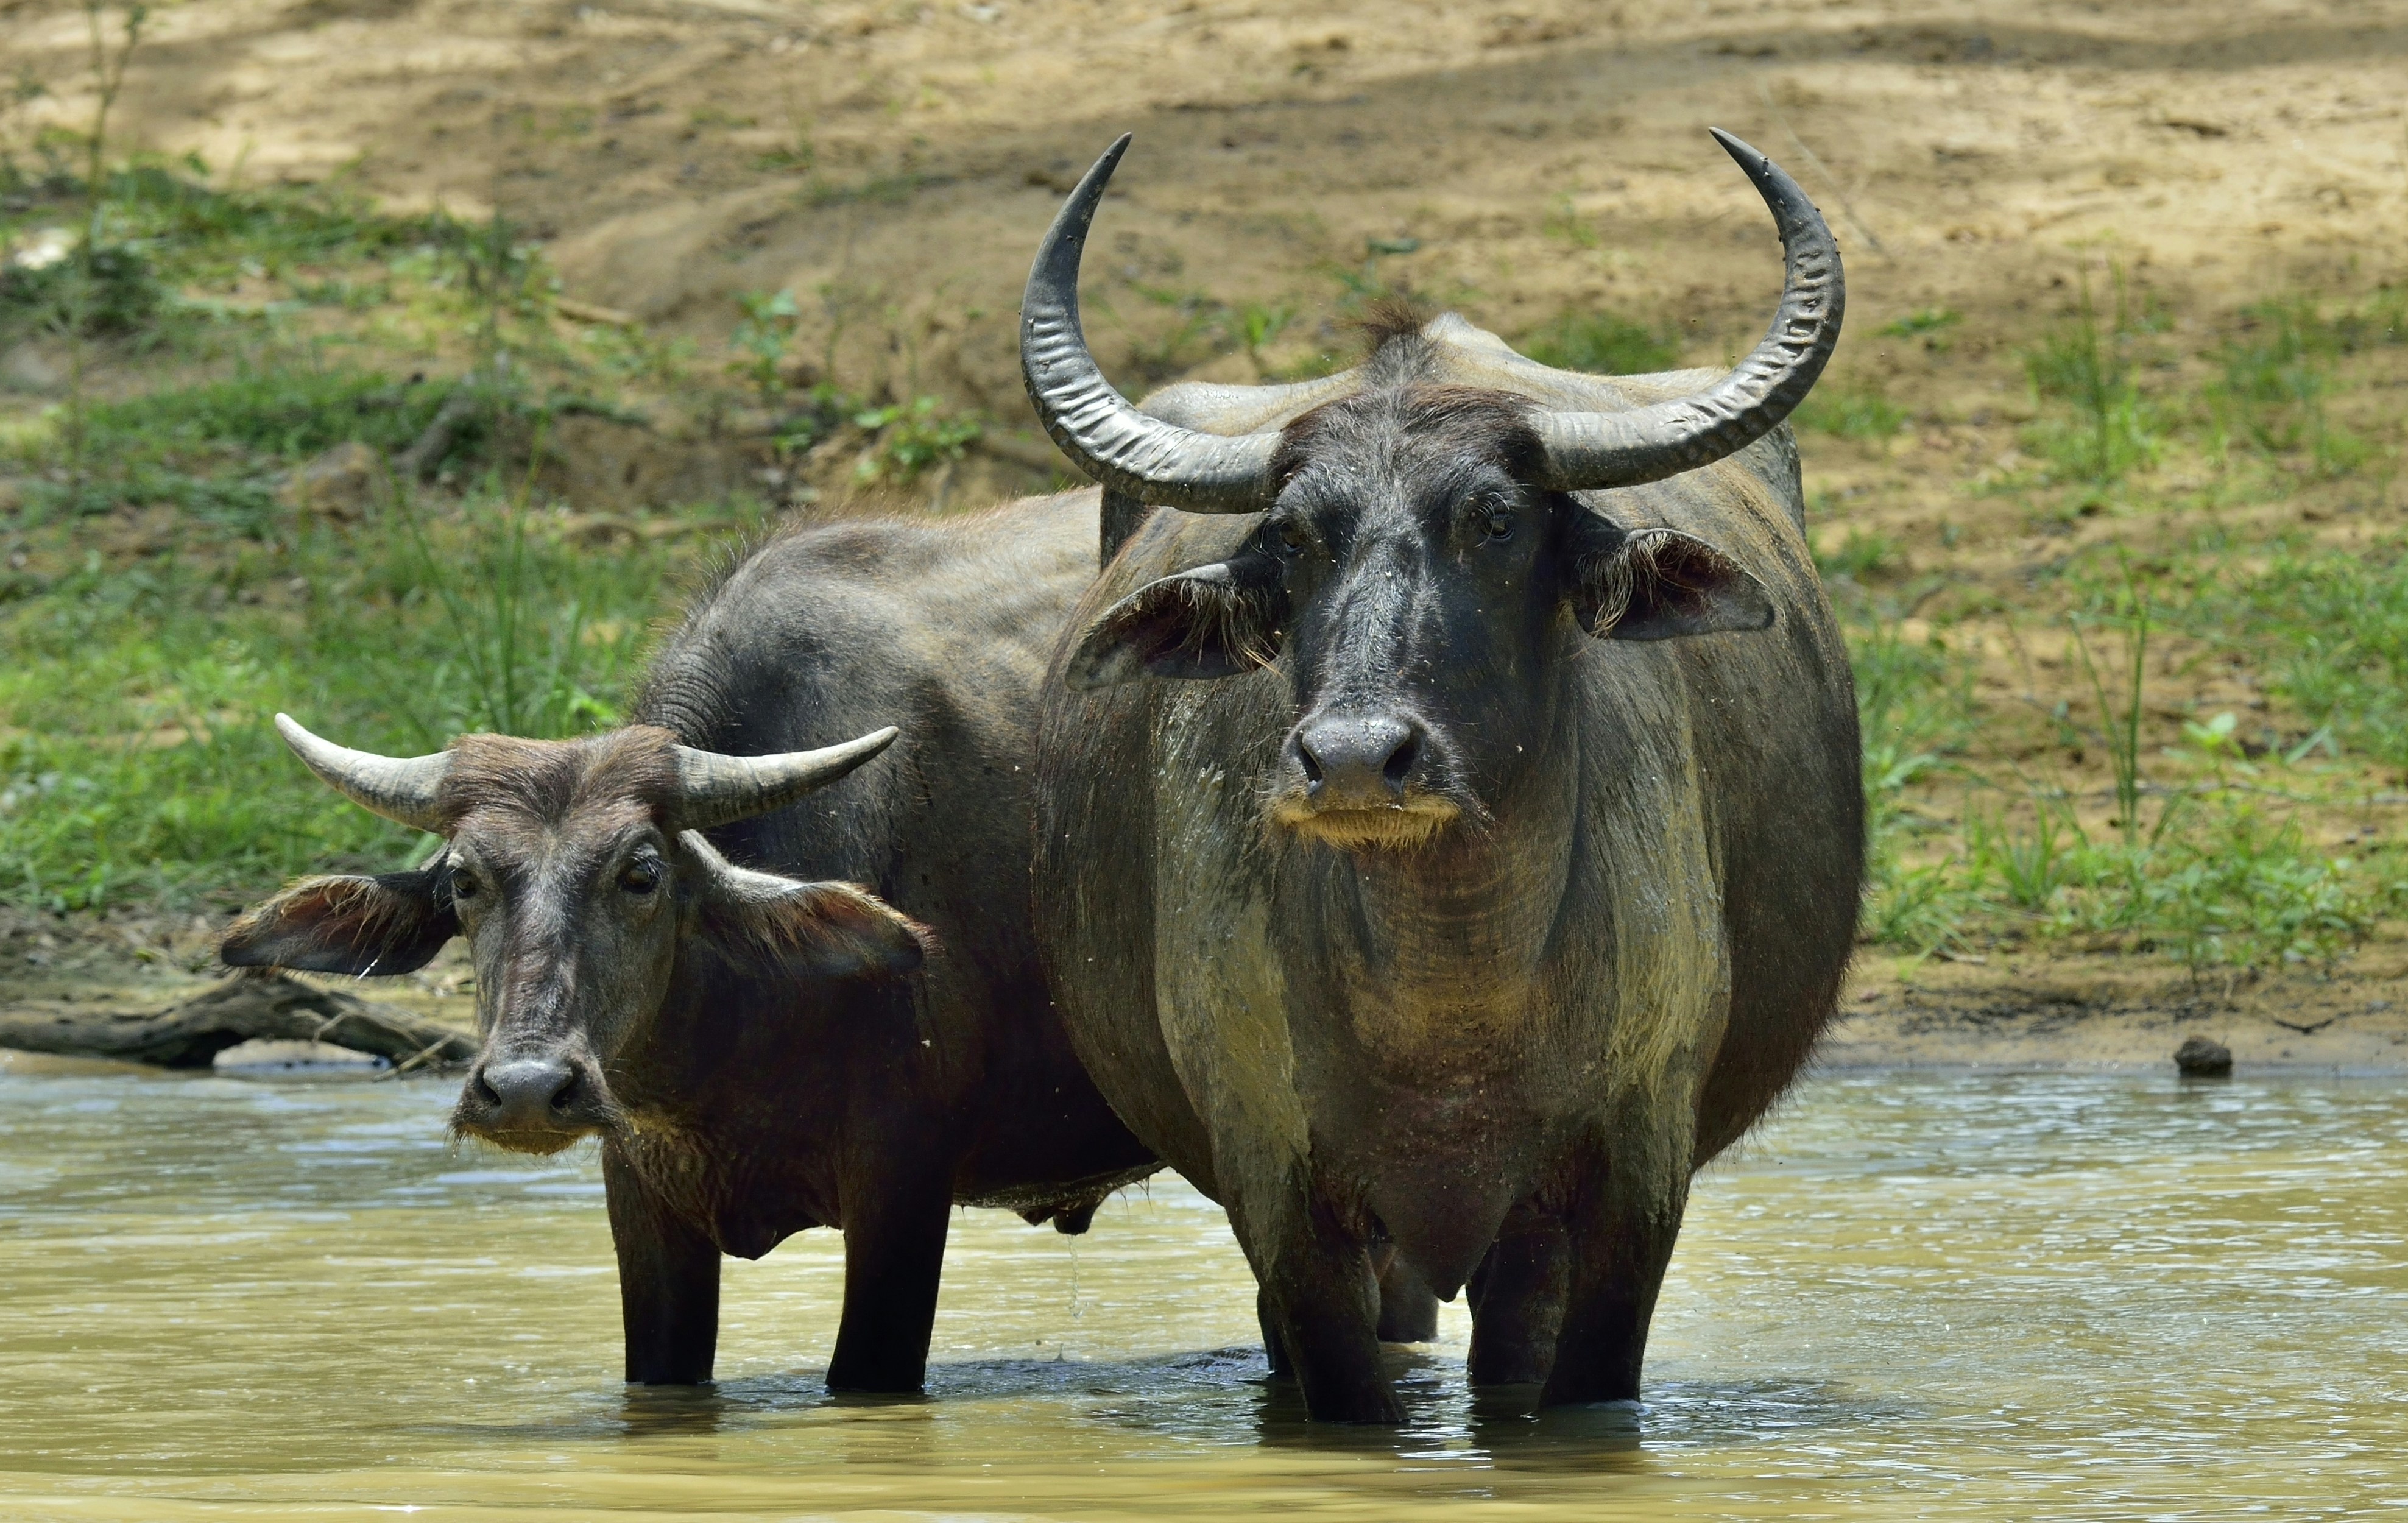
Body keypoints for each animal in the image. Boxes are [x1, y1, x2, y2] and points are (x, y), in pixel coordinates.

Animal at [223, 498, 1158, 1393]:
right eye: (463, 879)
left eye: (641, 873)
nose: (525, 1090)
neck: (729, 1042)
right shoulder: (640, 1195)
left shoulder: (904, 1186)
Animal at [1022, 132, 1860, 1421]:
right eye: (1293, 536)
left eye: (1496, 522)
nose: (1356, 760)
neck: (1450, 989)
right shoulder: (1275, 1192)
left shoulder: (1630, 1186)